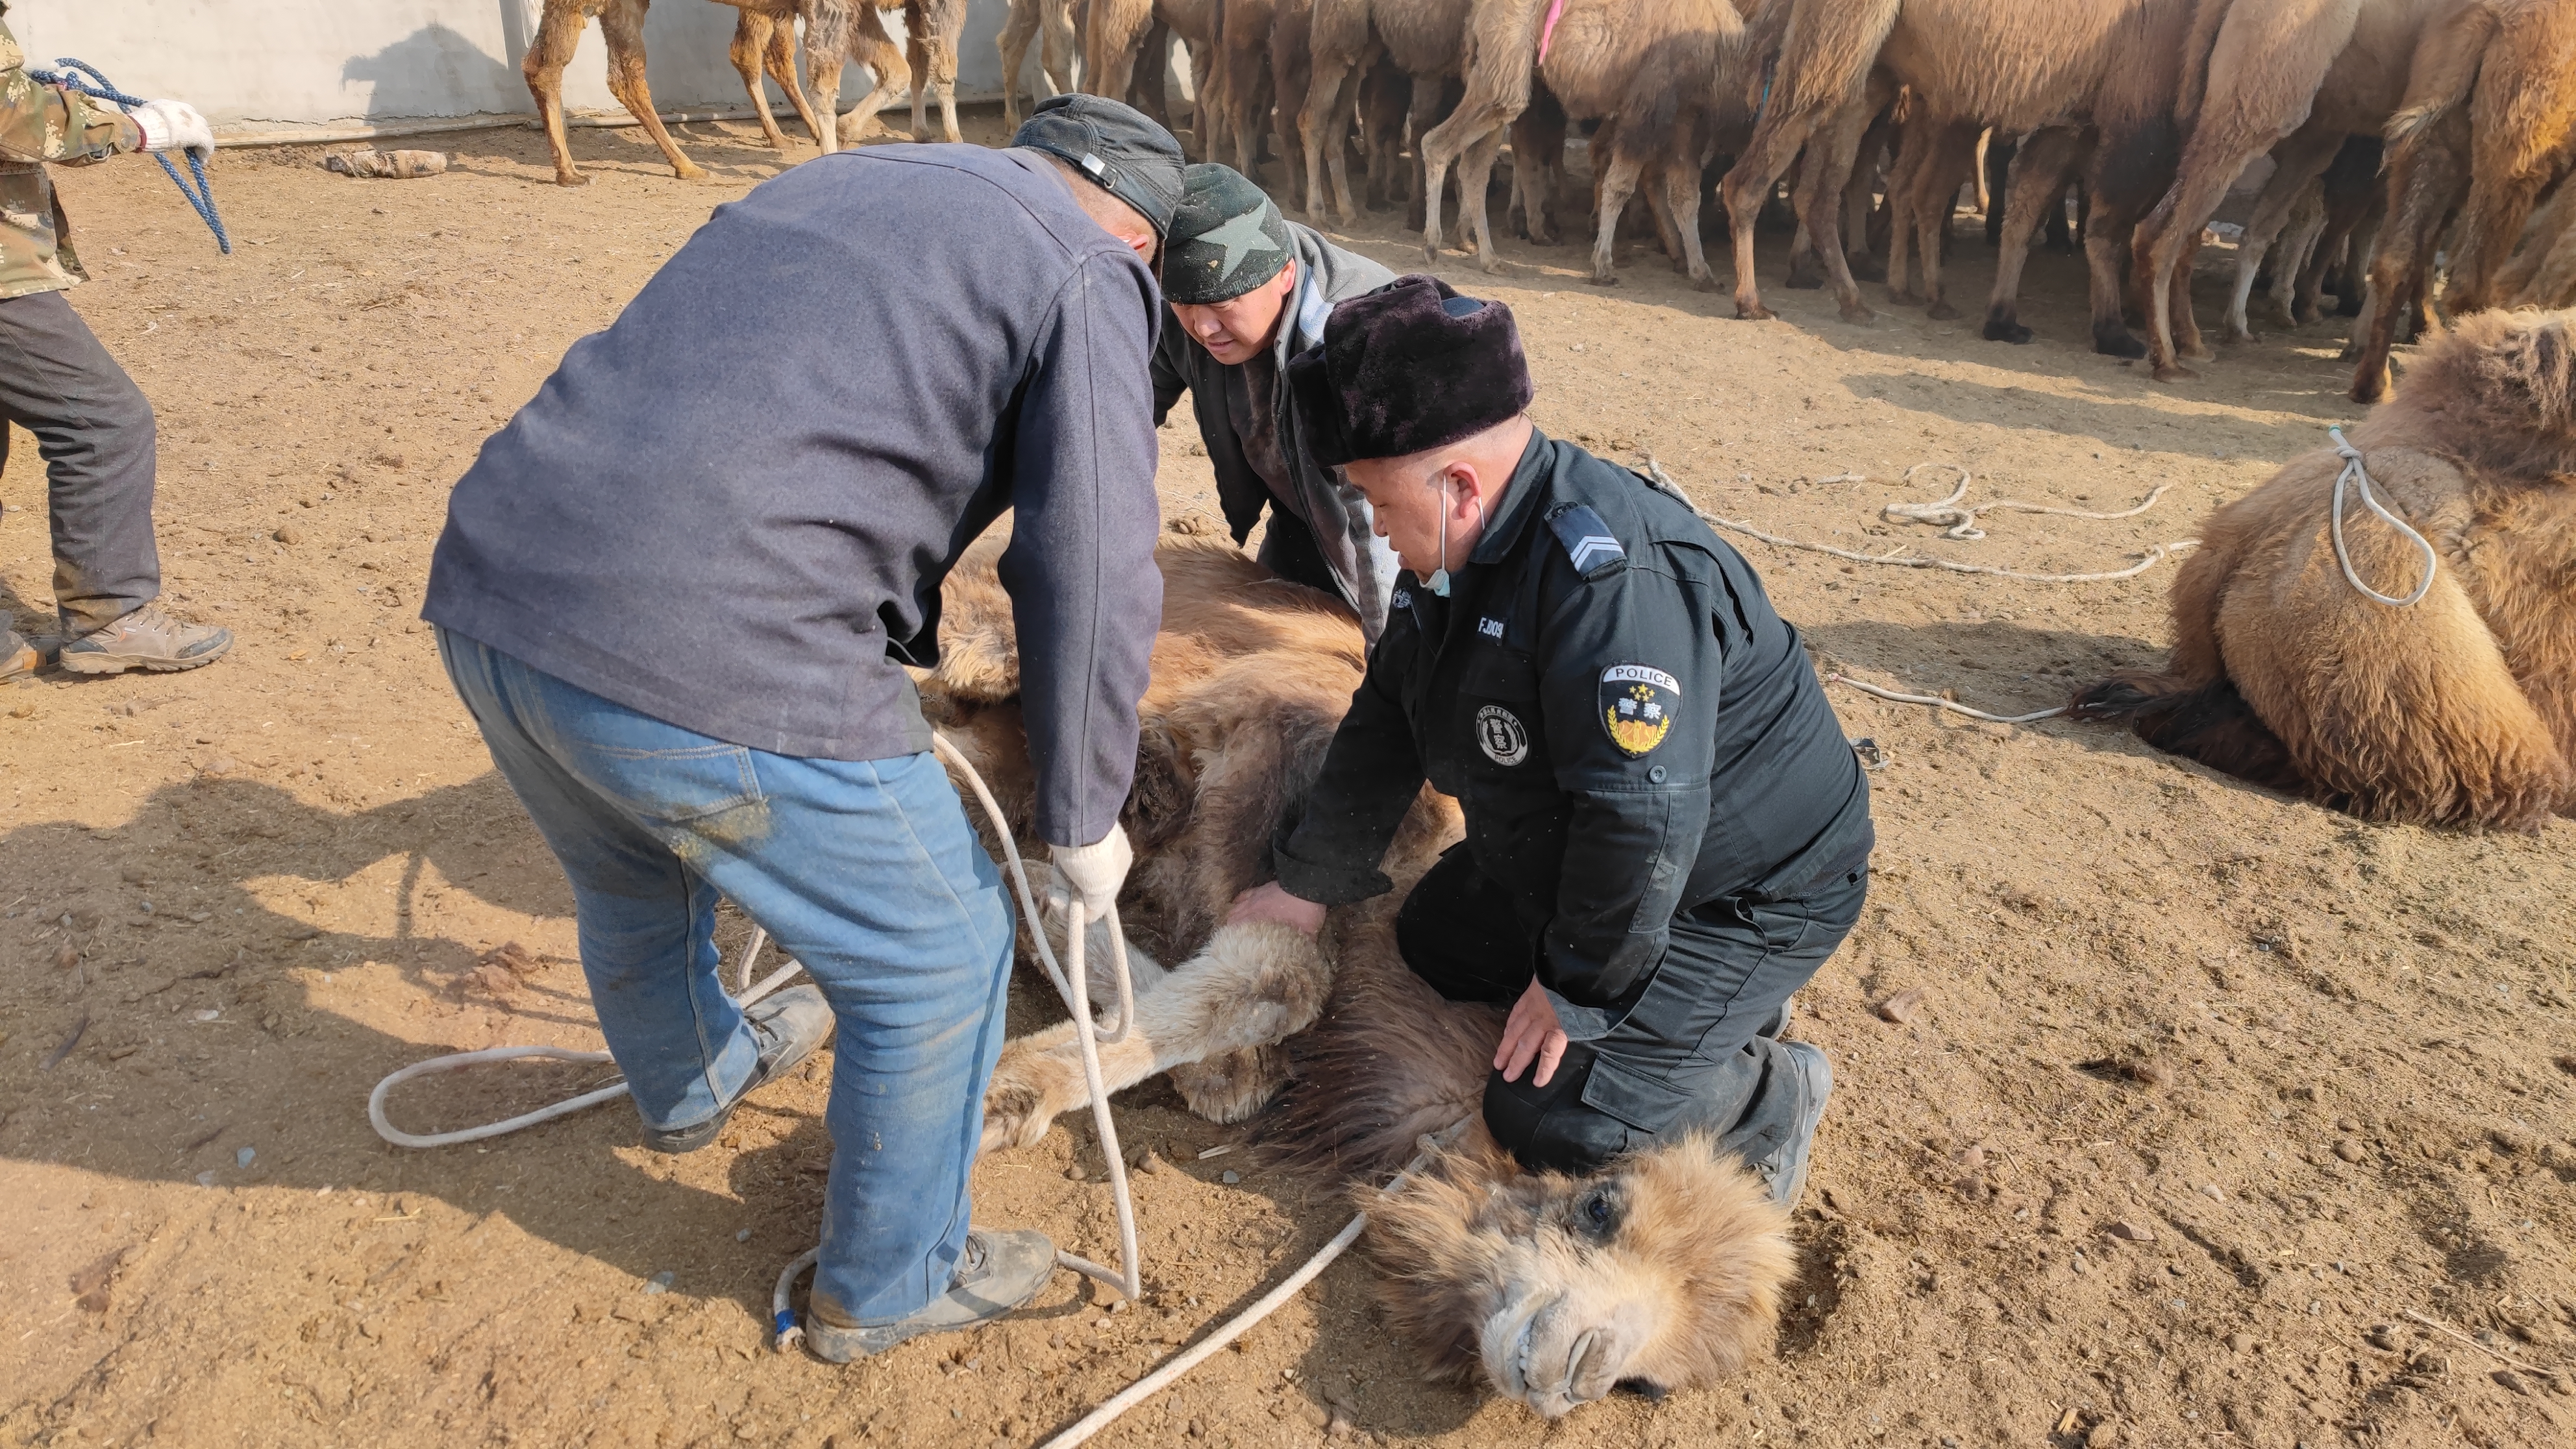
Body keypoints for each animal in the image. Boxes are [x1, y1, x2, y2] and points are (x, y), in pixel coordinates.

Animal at [922, 523, 1792, 1413]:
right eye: (1599, 1203)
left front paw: (1055, 924)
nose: (1580, 1366)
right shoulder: (1281, 744)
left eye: (1645, 1387)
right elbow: (1278, 970)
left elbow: (1255, 1017)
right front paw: (1013, 1079)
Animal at [2349, 0, 2576, 399]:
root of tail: (2492, 15)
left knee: (2397, 258)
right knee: (2469, 283)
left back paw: (2373, 384)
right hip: (2514, 157)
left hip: (2430, 140)